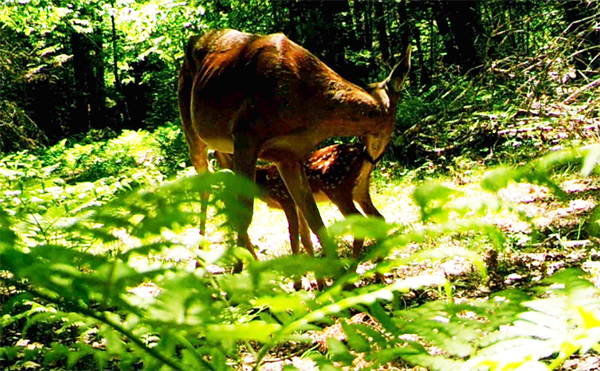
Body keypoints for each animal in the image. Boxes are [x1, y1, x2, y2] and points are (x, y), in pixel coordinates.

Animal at [220, 144, 384, 260]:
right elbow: (306, 238)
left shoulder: (286, 199)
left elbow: (293, 237)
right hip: (360, 189)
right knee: (377, 217)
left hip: (337, 188)